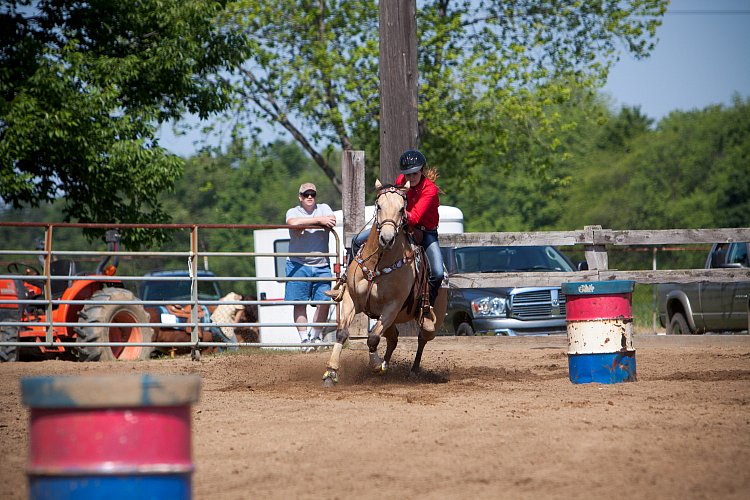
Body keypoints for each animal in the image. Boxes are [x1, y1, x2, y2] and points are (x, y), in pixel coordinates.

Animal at [322, 180, 446, 386]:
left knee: (422, 338)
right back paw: (385, 366)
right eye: (379, 206)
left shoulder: (392, 306)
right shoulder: (351, 299)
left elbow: (372, 337)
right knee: (393, 338)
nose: (387, 239)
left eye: (402, 208)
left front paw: (375, 365)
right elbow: (342, 333)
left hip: (431, 321)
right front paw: (331, 373)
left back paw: (412, 371)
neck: (377, 263)